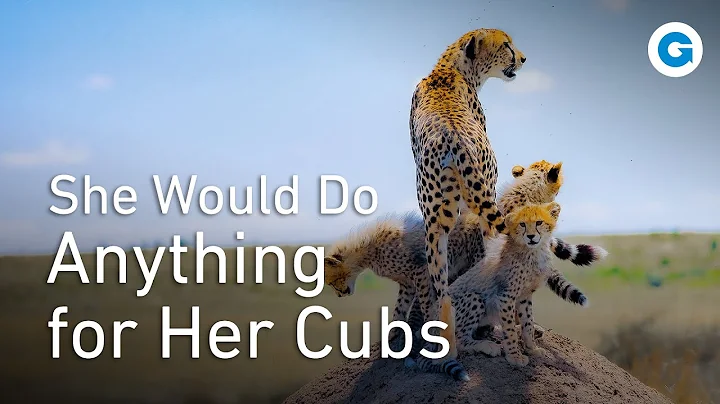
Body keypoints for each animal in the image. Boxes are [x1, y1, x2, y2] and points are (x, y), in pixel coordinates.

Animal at [409, 28, 526, 362]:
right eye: (506, 45)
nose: (523, 58)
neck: (449, 67)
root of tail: (452, 137)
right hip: (482, 204)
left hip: (434, 224)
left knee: (443, 292)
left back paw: (446, 345)